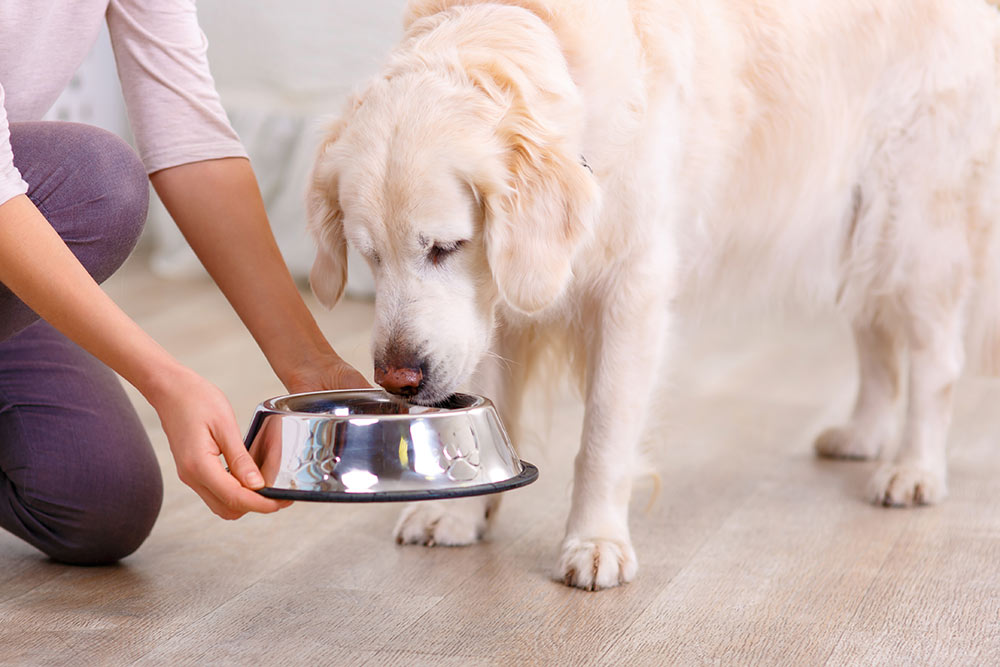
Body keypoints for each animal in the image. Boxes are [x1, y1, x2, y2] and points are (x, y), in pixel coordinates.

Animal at [308, 2, 1000, 592]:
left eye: (446, 246)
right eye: (370, 256)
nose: (398, 379)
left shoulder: (631, 288)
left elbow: (604, 435)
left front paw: (595, 543)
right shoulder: (483, 313)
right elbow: (474, 400)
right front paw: (457, 514)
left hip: (912, 226)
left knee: (936, 360)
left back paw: (914, 469)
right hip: (854, 232)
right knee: (877, 339)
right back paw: (862, 434)